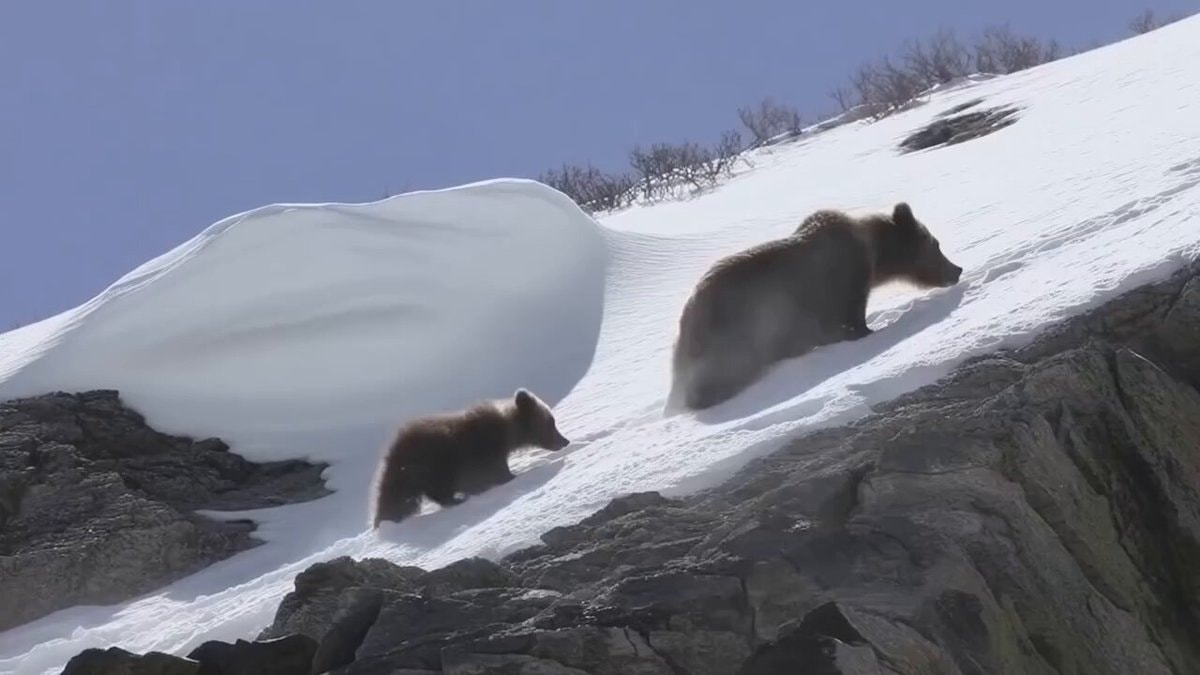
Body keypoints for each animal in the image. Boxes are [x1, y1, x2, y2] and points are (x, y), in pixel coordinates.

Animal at [370, 388, 571, 528]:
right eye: (551, 422)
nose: (565, 441)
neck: (509, 433)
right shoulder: (482, 449)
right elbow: (490, 472)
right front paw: (510, 477)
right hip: (433, 462)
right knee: (436, 488)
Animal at [665, 201, 962, 413]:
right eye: (936, 244)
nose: (957, 269)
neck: (875, 255)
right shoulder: (843, 279)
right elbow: (851, 315)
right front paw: (864, 331)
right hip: (737, 328)